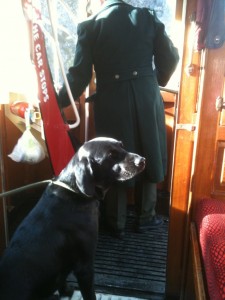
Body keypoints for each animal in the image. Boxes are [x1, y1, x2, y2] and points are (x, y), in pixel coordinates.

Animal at [0, 137, 145, 298]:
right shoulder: (84, 266)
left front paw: (65, 291)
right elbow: (89, 294)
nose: (142, 160)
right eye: (111, 155)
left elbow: (62, 279)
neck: (75, 191)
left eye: (122, 145)